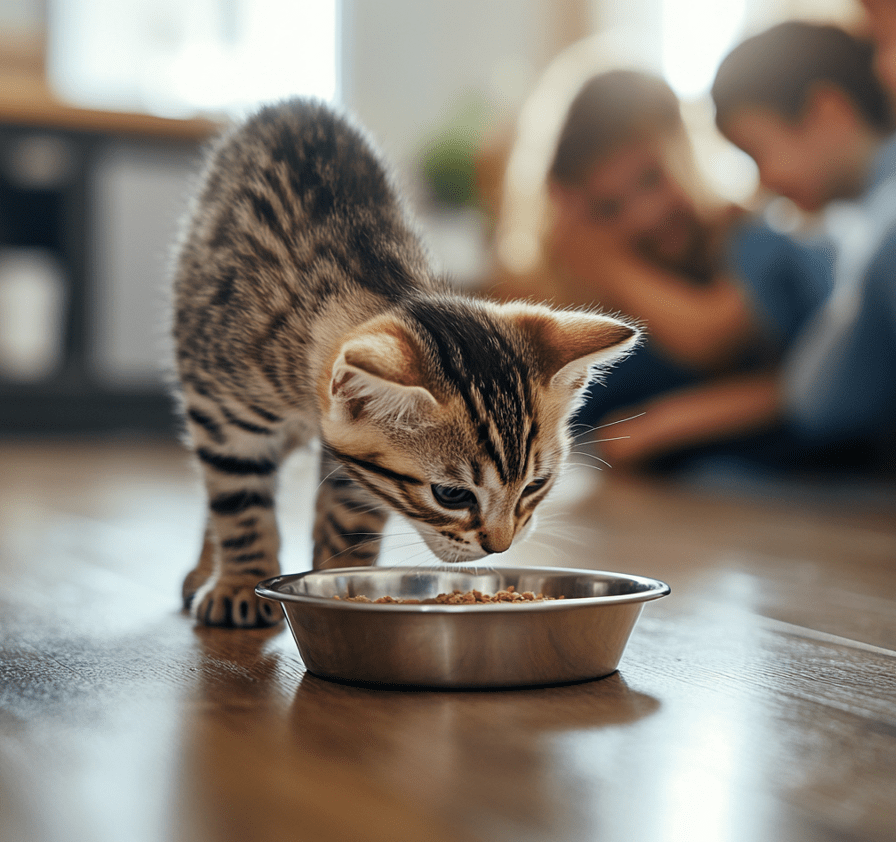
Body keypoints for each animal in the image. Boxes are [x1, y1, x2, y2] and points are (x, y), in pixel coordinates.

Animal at [173, 98, 636, 624]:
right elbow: (238, 503)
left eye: (536, 485)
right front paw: (240, 582)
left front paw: (342, 579)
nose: (499, 546)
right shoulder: (224, 415)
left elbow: (348, 521)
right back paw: (206, 571)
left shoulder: (354, 471)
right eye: (451, 495)